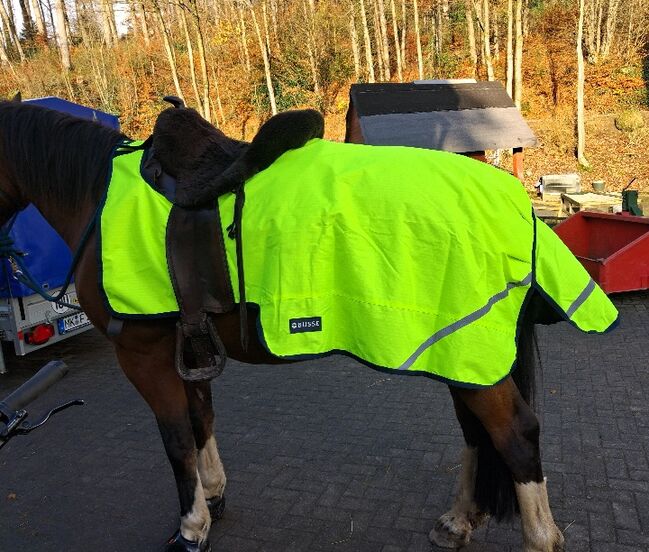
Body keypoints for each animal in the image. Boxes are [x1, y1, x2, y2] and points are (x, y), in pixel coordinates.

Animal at [0, 95, 616, 552]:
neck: (94, 197)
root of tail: (512, 200)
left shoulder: (143, 353)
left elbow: (176, 439)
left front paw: (191, 528)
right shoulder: (187, 345)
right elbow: (200, 422)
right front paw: (214, 498)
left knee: (515, 435)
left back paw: (538, 536)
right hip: (459, 348)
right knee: (475, 431)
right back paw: (457, 521)